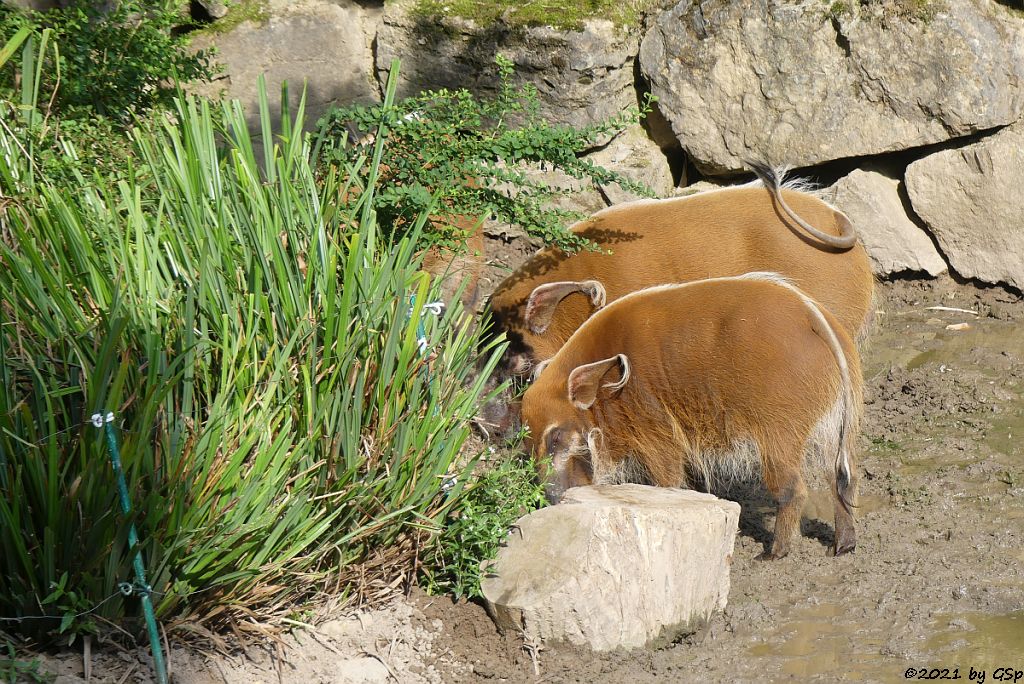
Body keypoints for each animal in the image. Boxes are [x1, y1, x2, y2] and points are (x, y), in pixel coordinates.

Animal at [520, 274, 864, 561]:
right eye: (528, 444)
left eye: (556, 437)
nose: (550, 499)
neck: (605, 392)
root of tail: (812, 315)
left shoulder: (656, 432)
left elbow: (668, 480)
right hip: (835, 426)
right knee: (843, 478)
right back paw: (843, 546)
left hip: (780, 428)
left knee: (794, 489)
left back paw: (773, 554)